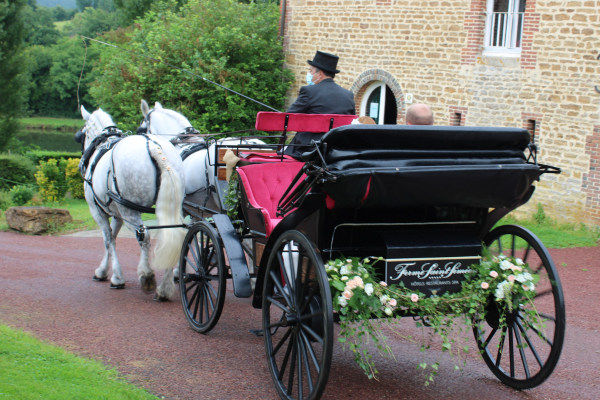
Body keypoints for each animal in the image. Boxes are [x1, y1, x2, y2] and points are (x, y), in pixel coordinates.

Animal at [76, 105, 186, 300]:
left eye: (83, 134)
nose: (82, 162)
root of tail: (154, 146)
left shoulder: (97, 211)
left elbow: (108, 240)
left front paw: (115, 278)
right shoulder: (116, 213)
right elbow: (112, 236)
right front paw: (104, 271)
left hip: (130, 210)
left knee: (144, 236)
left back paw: (147, 276)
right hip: (170, 205)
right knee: (173, 234)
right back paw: (164, 288)